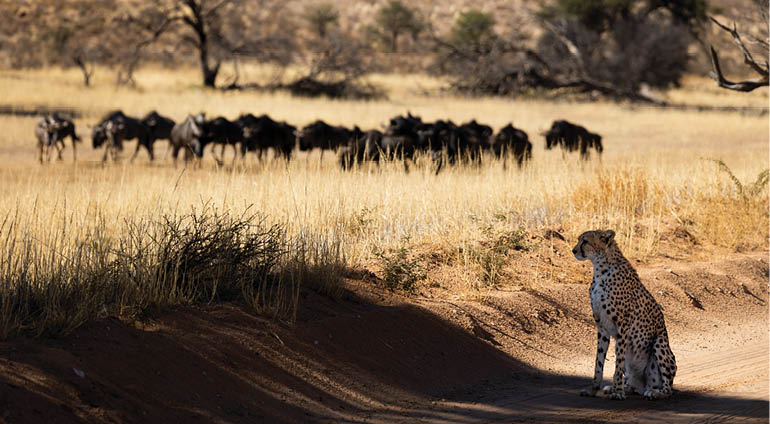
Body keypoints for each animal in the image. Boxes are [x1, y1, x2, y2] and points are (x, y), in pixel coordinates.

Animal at [572, 229, 676, 400]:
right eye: (579, 240)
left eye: (585, 241)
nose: (573, 250)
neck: (601, 269)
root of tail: (643, 385)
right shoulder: (602, 326)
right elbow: (598, 362)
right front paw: (594, 389)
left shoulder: (623, 326)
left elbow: (618, 364)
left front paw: (618, 392)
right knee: (633, 385)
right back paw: (618, 388)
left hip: (660, 344)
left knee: (667, 389)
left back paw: (654, 392)